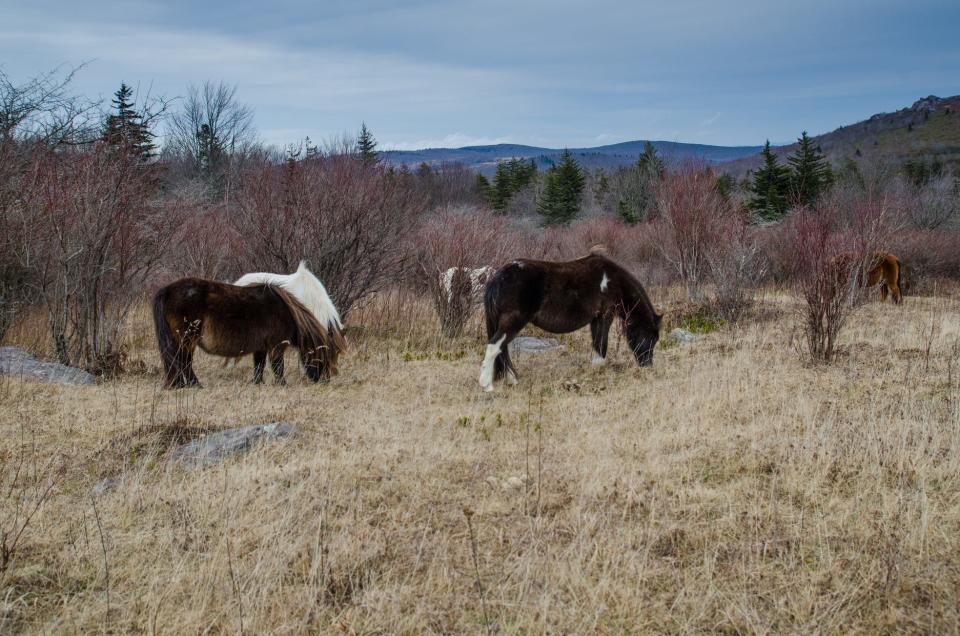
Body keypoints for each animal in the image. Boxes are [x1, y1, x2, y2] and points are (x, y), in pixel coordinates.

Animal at [156, 278, 350, 388]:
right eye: (325, 355)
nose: (324, 381)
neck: (287, 313)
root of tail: (168, 290)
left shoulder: (261, 347)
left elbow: (259, 366)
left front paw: (257, 383)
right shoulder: (277, 346)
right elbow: (278, 367)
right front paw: (282, 385)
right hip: (187, 339)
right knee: (184, 362)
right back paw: (194, 385)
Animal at [480, 251, 660, 390]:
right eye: (651, 338)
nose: (647, 365)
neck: (612, 280)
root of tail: (498, 276)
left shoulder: (596, 319)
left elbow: (596, 346)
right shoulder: (605, 316)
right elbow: (601, 345)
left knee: (502, 349)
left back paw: (511, 380)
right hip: (513, 321)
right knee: (495, 346)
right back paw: (487, 385)